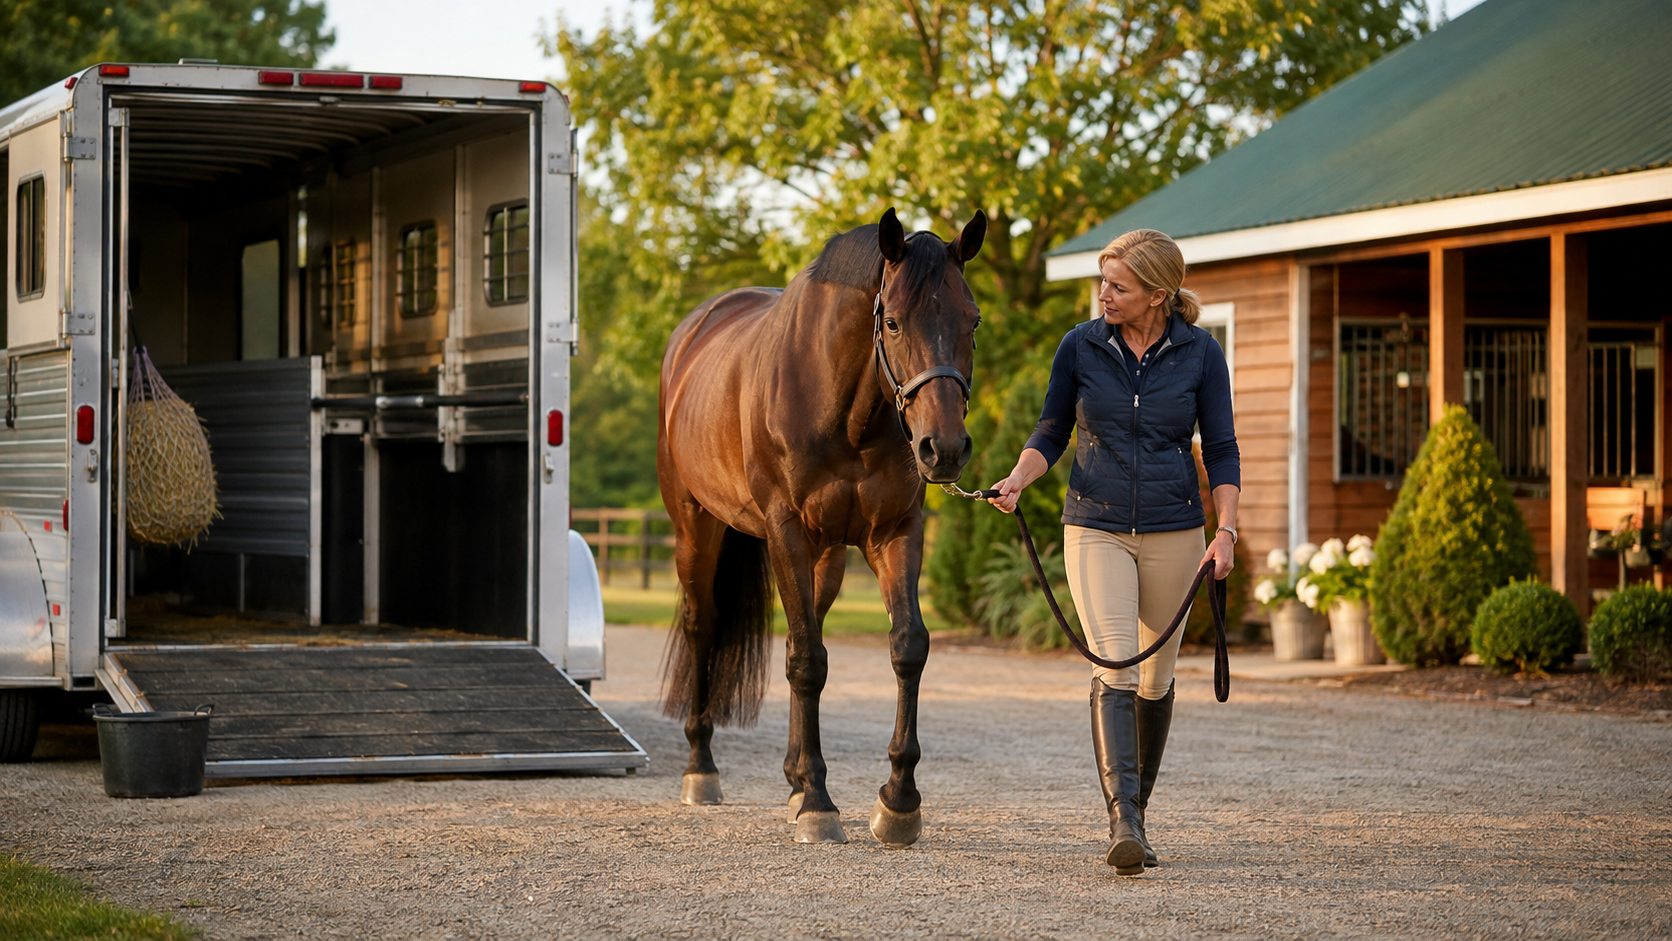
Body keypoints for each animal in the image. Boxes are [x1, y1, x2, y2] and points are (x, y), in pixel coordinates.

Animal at [656, 207, 987, 845]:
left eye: (973, 321)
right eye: (894, 323)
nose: (945, 449)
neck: (846, 409)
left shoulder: (895, 533)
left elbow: (906, 646)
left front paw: (897, 802)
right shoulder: (786, 530)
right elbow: (809, 661)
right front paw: (818, 803)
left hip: (826, 557)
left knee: (797, 633)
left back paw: (791, 778)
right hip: (696, 528)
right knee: (704, 626)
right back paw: (701, 769)